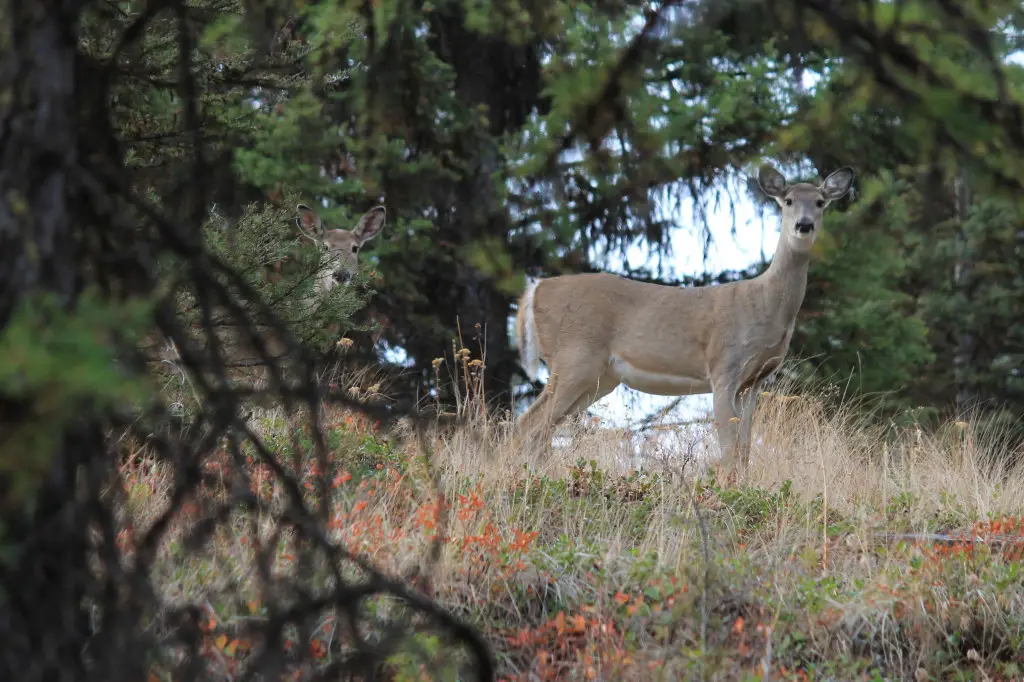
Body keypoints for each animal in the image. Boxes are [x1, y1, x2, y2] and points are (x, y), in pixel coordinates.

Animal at [512, 161, 856, 471]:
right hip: (573, 356)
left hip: (601, 377)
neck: (767, 306)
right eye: (788, 201)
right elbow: (729, 449)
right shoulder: (723, 366)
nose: (804, 225)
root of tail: (536, 289)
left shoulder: (755, 380)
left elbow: (744, 449)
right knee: (528, 424)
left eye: (820, 202)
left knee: (541, 429)